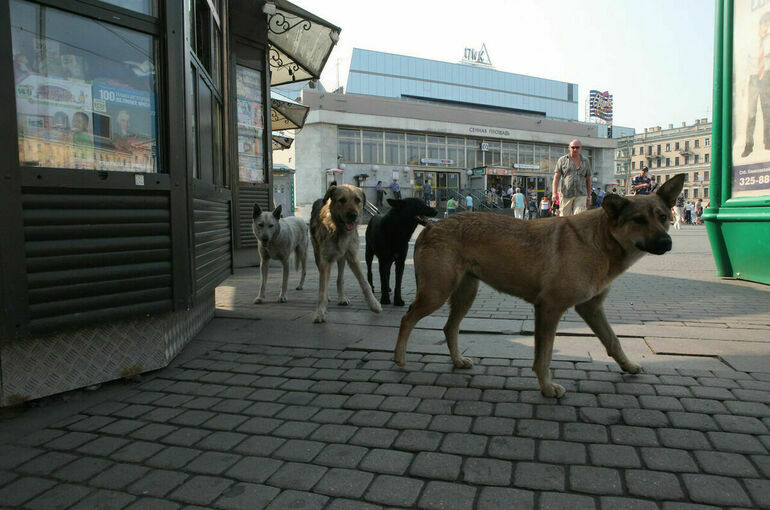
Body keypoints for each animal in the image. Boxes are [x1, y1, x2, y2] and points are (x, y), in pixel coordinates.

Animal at [308, 185, 380, 322]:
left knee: (340, 278)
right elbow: (322, 288)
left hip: (342, 259)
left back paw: (342, 297)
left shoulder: (353, 257)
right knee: (324, 276)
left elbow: (365, 283)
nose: (353, 215)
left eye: (357, 200)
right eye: (342, 200)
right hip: (317, 254)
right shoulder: (325, 260)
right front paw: (320, 312)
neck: (339, 231)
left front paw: (374, 304)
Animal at [392, 175, 680, 398]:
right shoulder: (549, 309)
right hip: (436, 292)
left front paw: (628, 366)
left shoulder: (592, 308)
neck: (599, 241)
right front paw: (548, 388)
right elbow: (544, 356)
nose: (667, 243)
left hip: (465, 294)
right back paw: (399, 358)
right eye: (638, 220)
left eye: (663, 217)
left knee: (449, 328)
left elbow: (613, 341)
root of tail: (432, 226)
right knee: (407, 319)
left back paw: (457, 360)